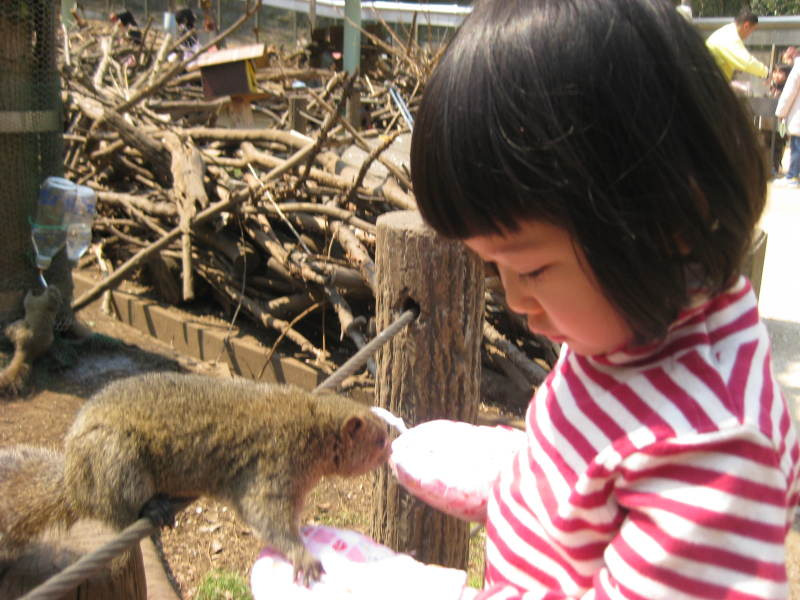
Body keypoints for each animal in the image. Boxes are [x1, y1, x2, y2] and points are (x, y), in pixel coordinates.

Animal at [0, 372, 390, 584]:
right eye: (379, 439)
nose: (391, 448)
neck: (313, 428)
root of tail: (72, 484)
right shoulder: (274, 465)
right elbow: (265, 516)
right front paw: (301, 555)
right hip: (116, 458)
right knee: (119, 510)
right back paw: (152, 509)